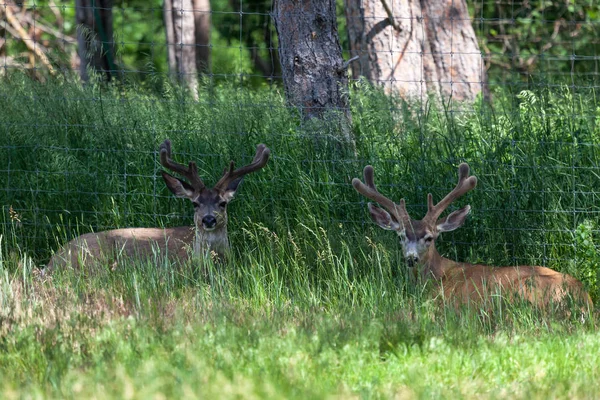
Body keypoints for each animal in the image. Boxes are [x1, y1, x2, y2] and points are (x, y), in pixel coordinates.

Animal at [352, 162, 592, 310]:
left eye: (429, 238)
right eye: (400, 236)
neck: (437, 277)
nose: (411, 258)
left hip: (523, 290)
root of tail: (584, 301)